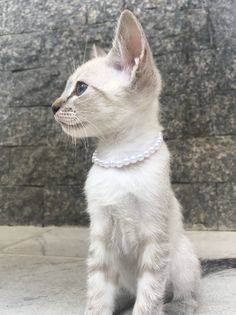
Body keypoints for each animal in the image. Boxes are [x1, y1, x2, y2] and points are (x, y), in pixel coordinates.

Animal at [52, 9, 200, 315]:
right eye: (66, 88)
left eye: (80, 88)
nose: (53, 106)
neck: (118, 160)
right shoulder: (100, 233)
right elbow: (97, 290)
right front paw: (95, 310)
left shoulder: (155, 237)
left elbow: (149, 295)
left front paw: (149, 308)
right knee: (125, 293)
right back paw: (121, 301)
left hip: (181, 254)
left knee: (184, 292)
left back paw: (177, 306)